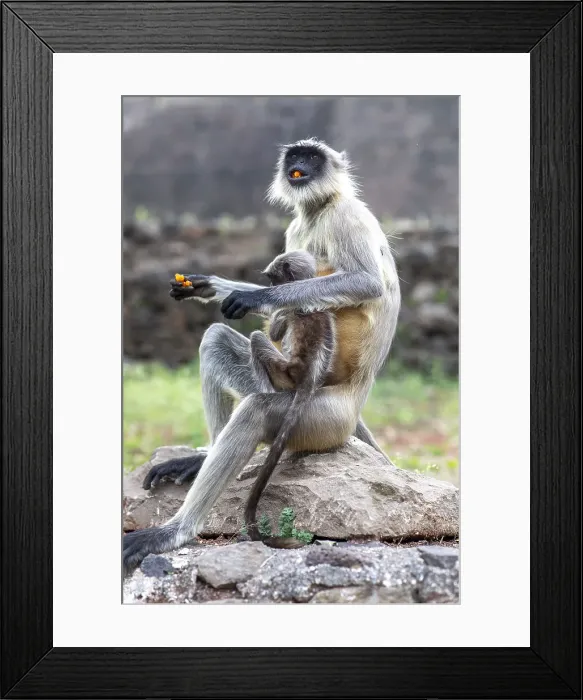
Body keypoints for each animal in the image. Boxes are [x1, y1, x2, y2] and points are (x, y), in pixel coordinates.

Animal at [245, 250, 336, 540]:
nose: (272, 289)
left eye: (275, 279)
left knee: (257, 338)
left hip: (283, 372)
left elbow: (274, 330)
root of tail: (307, 379)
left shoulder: (288, 308)